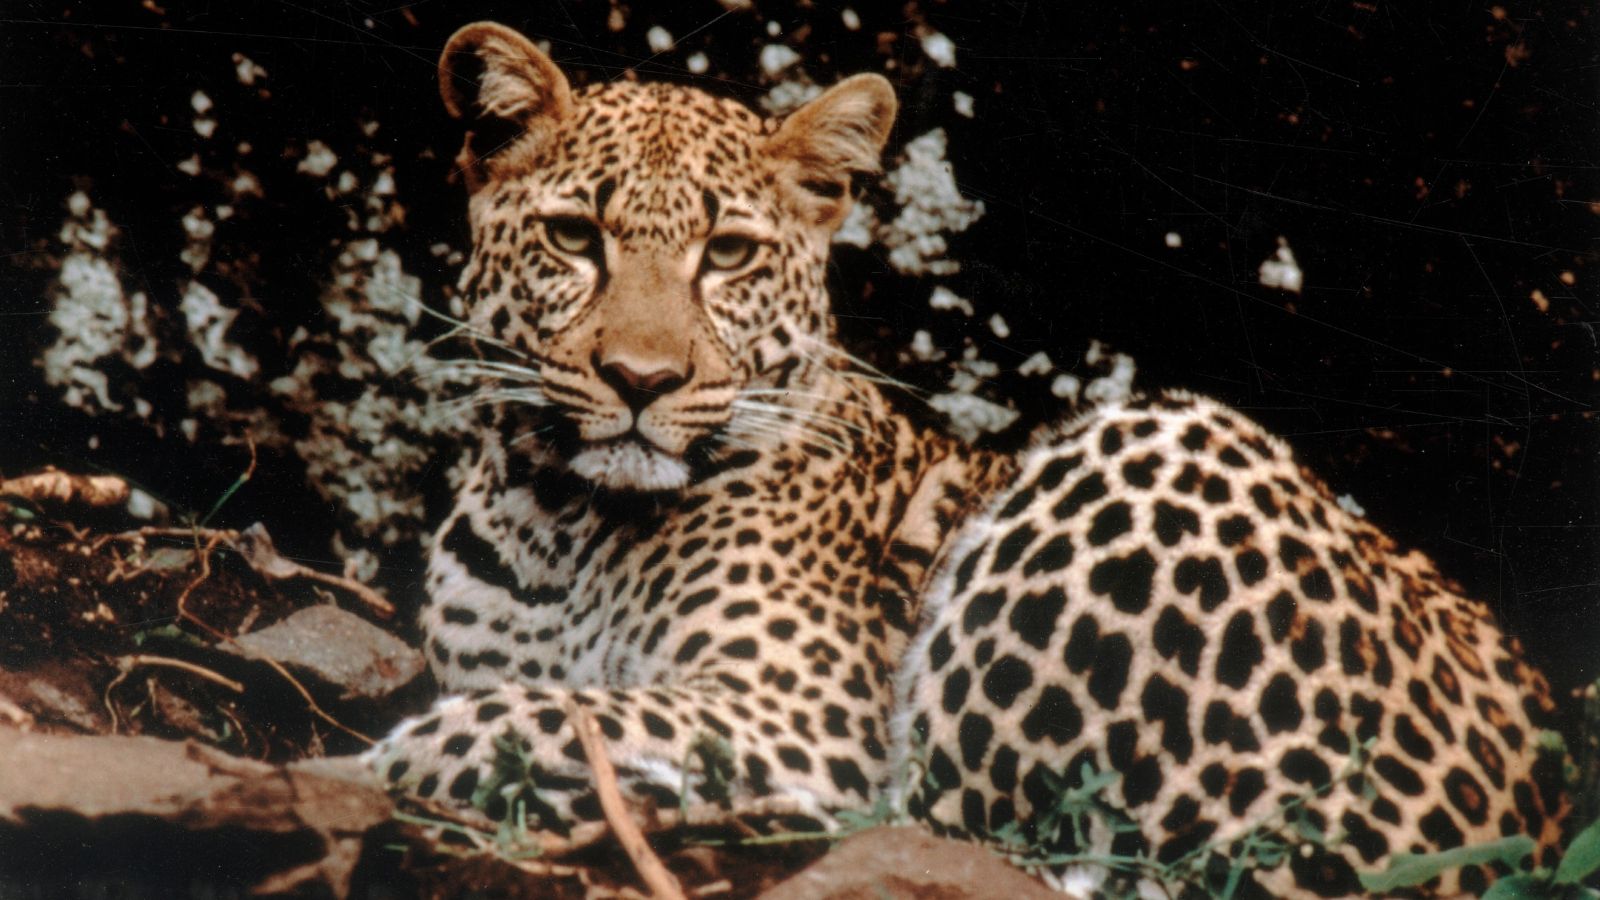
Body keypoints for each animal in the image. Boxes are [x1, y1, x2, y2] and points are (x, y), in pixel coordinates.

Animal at [368, 21, 1568, 897]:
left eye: (730, 253)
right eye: (576, 238)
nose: (640, 379)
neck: (561, 530)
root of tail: (1546, 811)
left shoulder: (798, 709)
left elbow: (564, 715)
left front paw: (403, 755)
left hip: (1160, 442)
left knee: (965, 830)